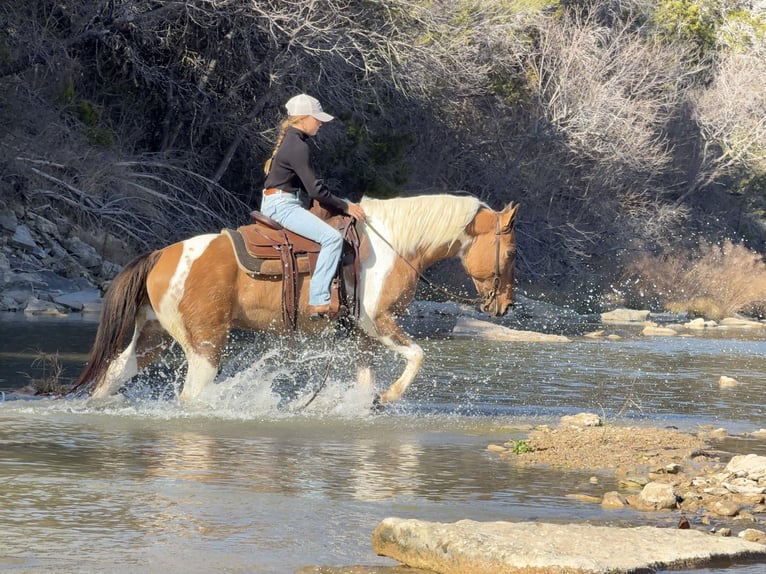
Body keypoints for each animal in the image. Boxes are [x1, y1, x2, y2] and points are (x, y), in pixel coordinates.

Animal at [72, 194, 519, 405]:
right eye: (512, 252)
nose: (505, 307)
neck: (393, 243)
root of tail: (161, 255)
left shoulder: (364, 335)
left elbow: (365, 379)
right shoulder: (379, 321)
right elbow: (418, 355)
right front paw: (389, 396)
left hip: (154, 336)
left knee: (114, 374)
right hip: (205, 345)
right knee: (192, 395)